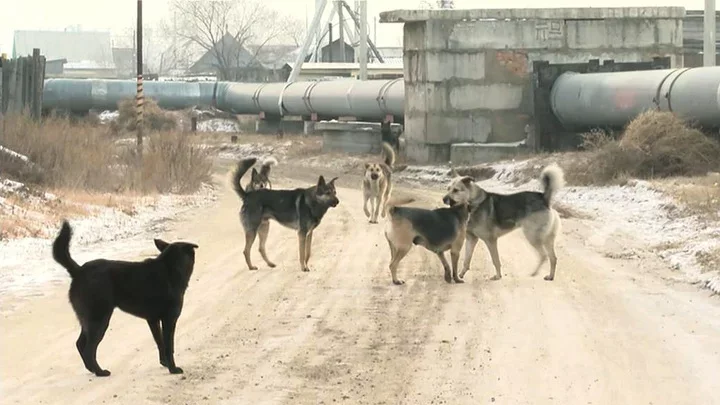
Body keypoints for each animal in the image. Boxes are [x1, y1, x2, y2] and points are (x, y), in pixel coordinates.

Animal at [50, 221, 198, 376]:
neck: (170, 268)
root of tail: (78, 271)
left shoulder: (153, 320)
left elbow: (160, 342)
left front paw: (164, 362)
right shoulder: (169, 319)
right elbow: (169, 346)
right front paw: (173, 368)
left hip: (89, 320)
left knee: (80, 344)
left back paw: (92, 369)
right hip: (99, 320)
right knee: (88, 349)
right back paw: (100, 372)